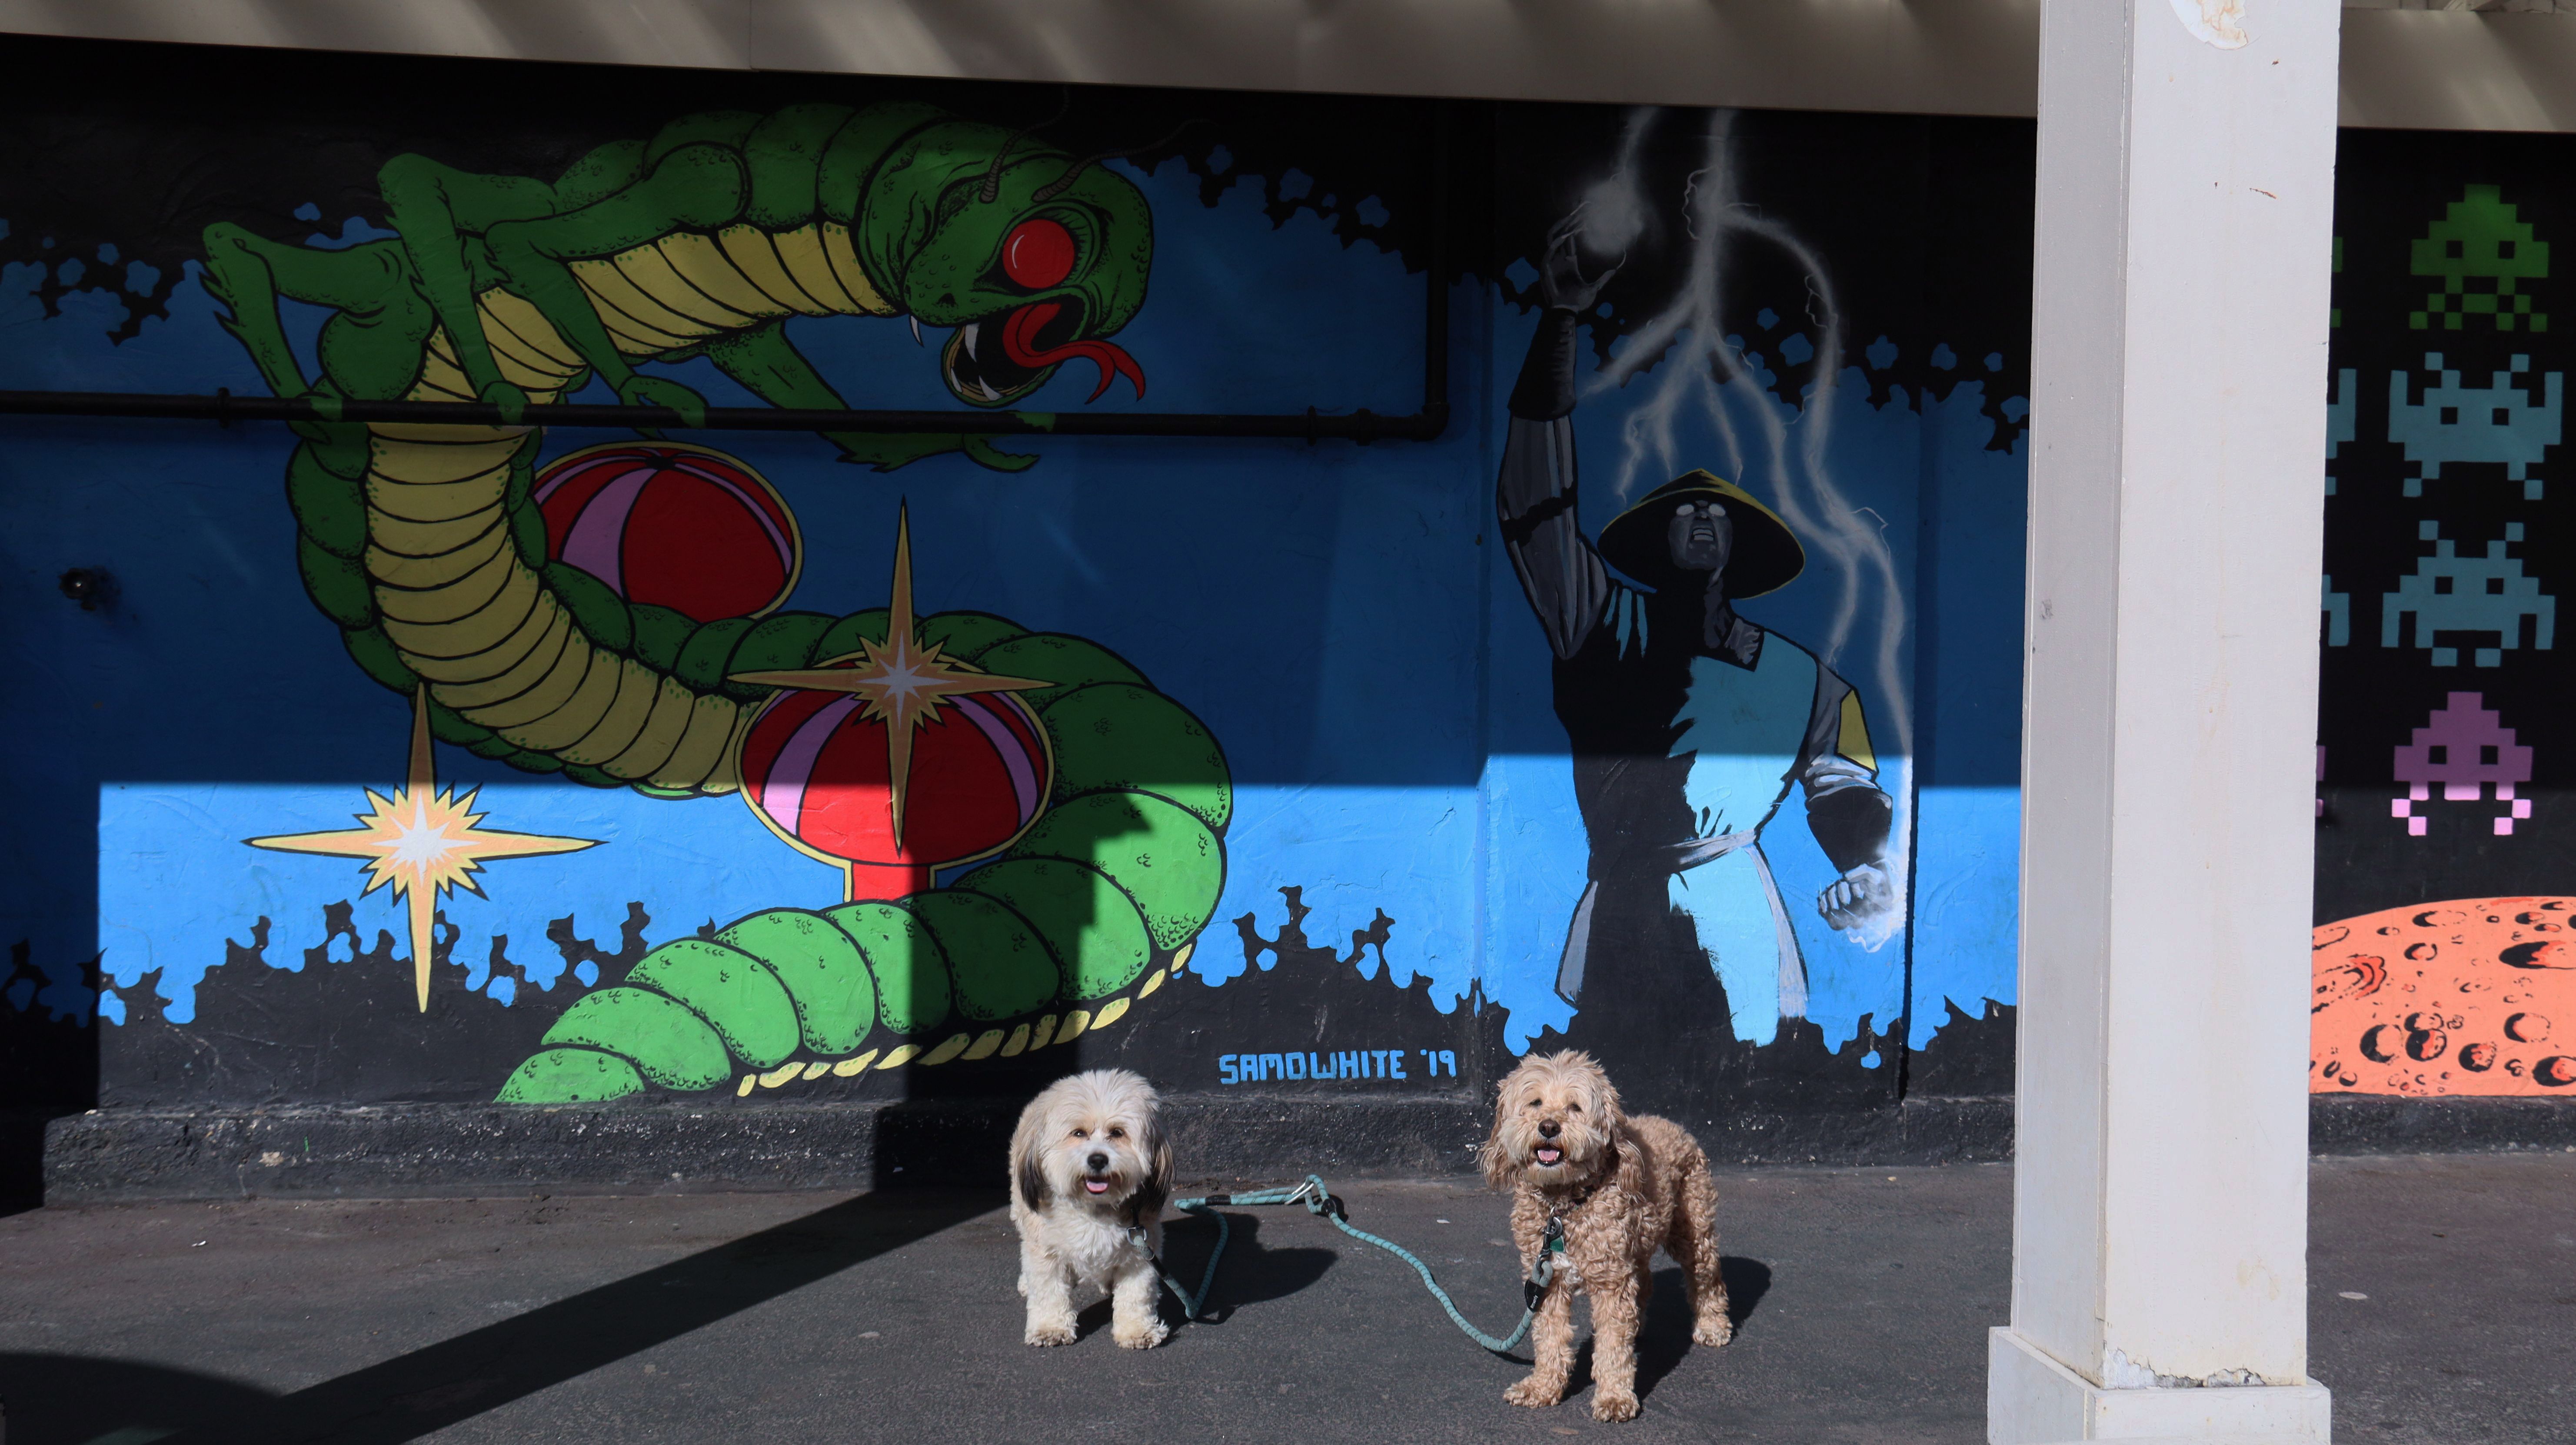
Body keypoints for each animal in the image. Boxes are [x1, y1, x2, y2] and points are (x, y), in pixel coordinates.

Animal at [1009, 1068, 1175, 1349]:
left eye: (1117, 1133)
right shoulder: (1046, 1251)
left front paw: (1136, 1330)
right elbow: (1048, 1292)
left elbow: (1136, 1295)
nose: (1098, 1159)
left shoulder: (1141, 1252)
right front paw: (1050, 1328)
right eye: (1078, 1133)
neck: (1094, 1209)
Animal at [1481, 1050, 1730, 1421]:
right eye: (1535, 1102)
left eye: (1575, 1106)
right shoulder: (1547, 1281)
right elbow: (1549, 1338)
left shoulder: (1611, 1281)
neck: (1564, 1205)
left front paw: (1614, 1397)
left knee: (1706, 1275)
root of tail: (1675, 1125)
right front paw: (1542, 1387)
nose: (1549, 1126)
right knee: (1646, 1281)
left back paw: (1713, 1324)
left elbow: (1613, 1345)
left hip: (1692, 1229)